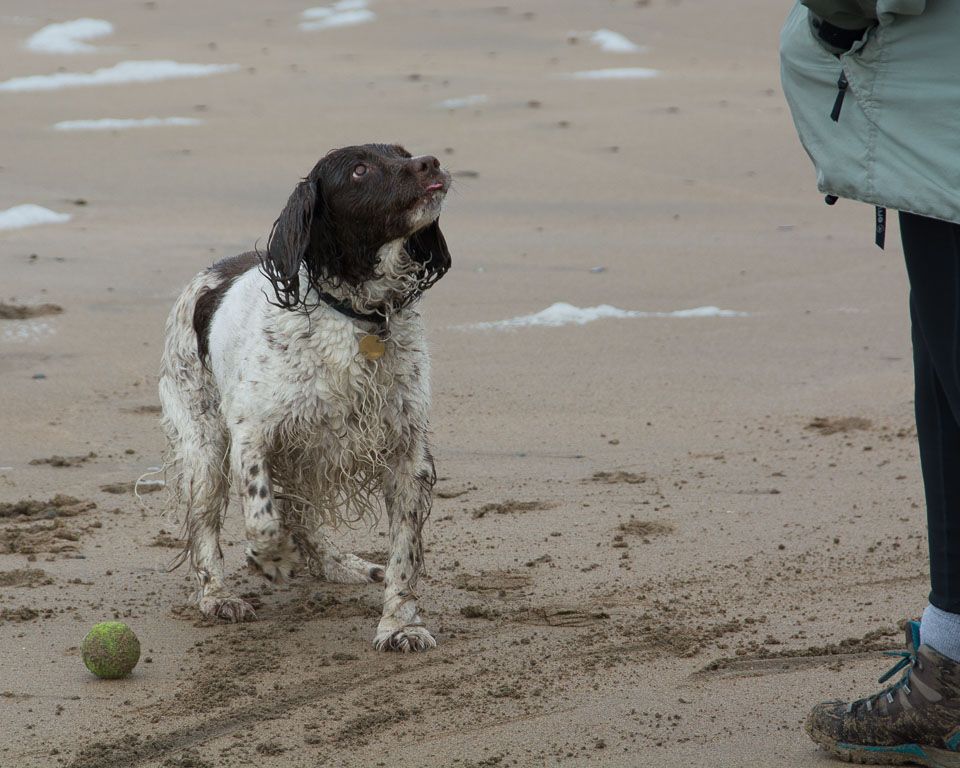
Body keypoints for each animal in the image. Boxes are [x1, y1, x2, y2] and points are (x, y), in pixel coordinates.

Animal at [158, 142, 454, 648]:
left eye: (403, 152)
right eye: (359, 170)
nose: (430, 163)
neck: (357, 313)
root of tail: (210, 272)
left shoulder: (406, 450)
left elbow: (404, 551)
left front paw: (401, 623)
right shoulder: (253, 433)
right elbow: (261, 515)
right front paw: (274, 558)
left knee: (304, 516)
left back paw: (339, 564)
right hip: (204, 447)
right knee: (206, 528)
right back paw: (218, 597)